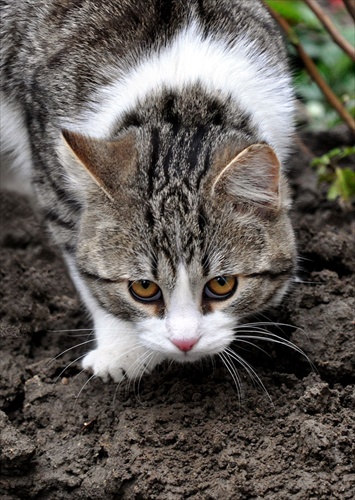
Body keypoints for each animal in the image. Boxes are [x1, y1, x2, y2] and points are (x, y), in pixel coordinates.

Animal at [0, 0, 298, 382]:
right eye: (143, 288)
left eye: (222, 284)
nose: (185, 342)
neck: (182, 93)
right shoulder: (50, 170)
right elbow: (82, 262)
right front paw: (122, 348)